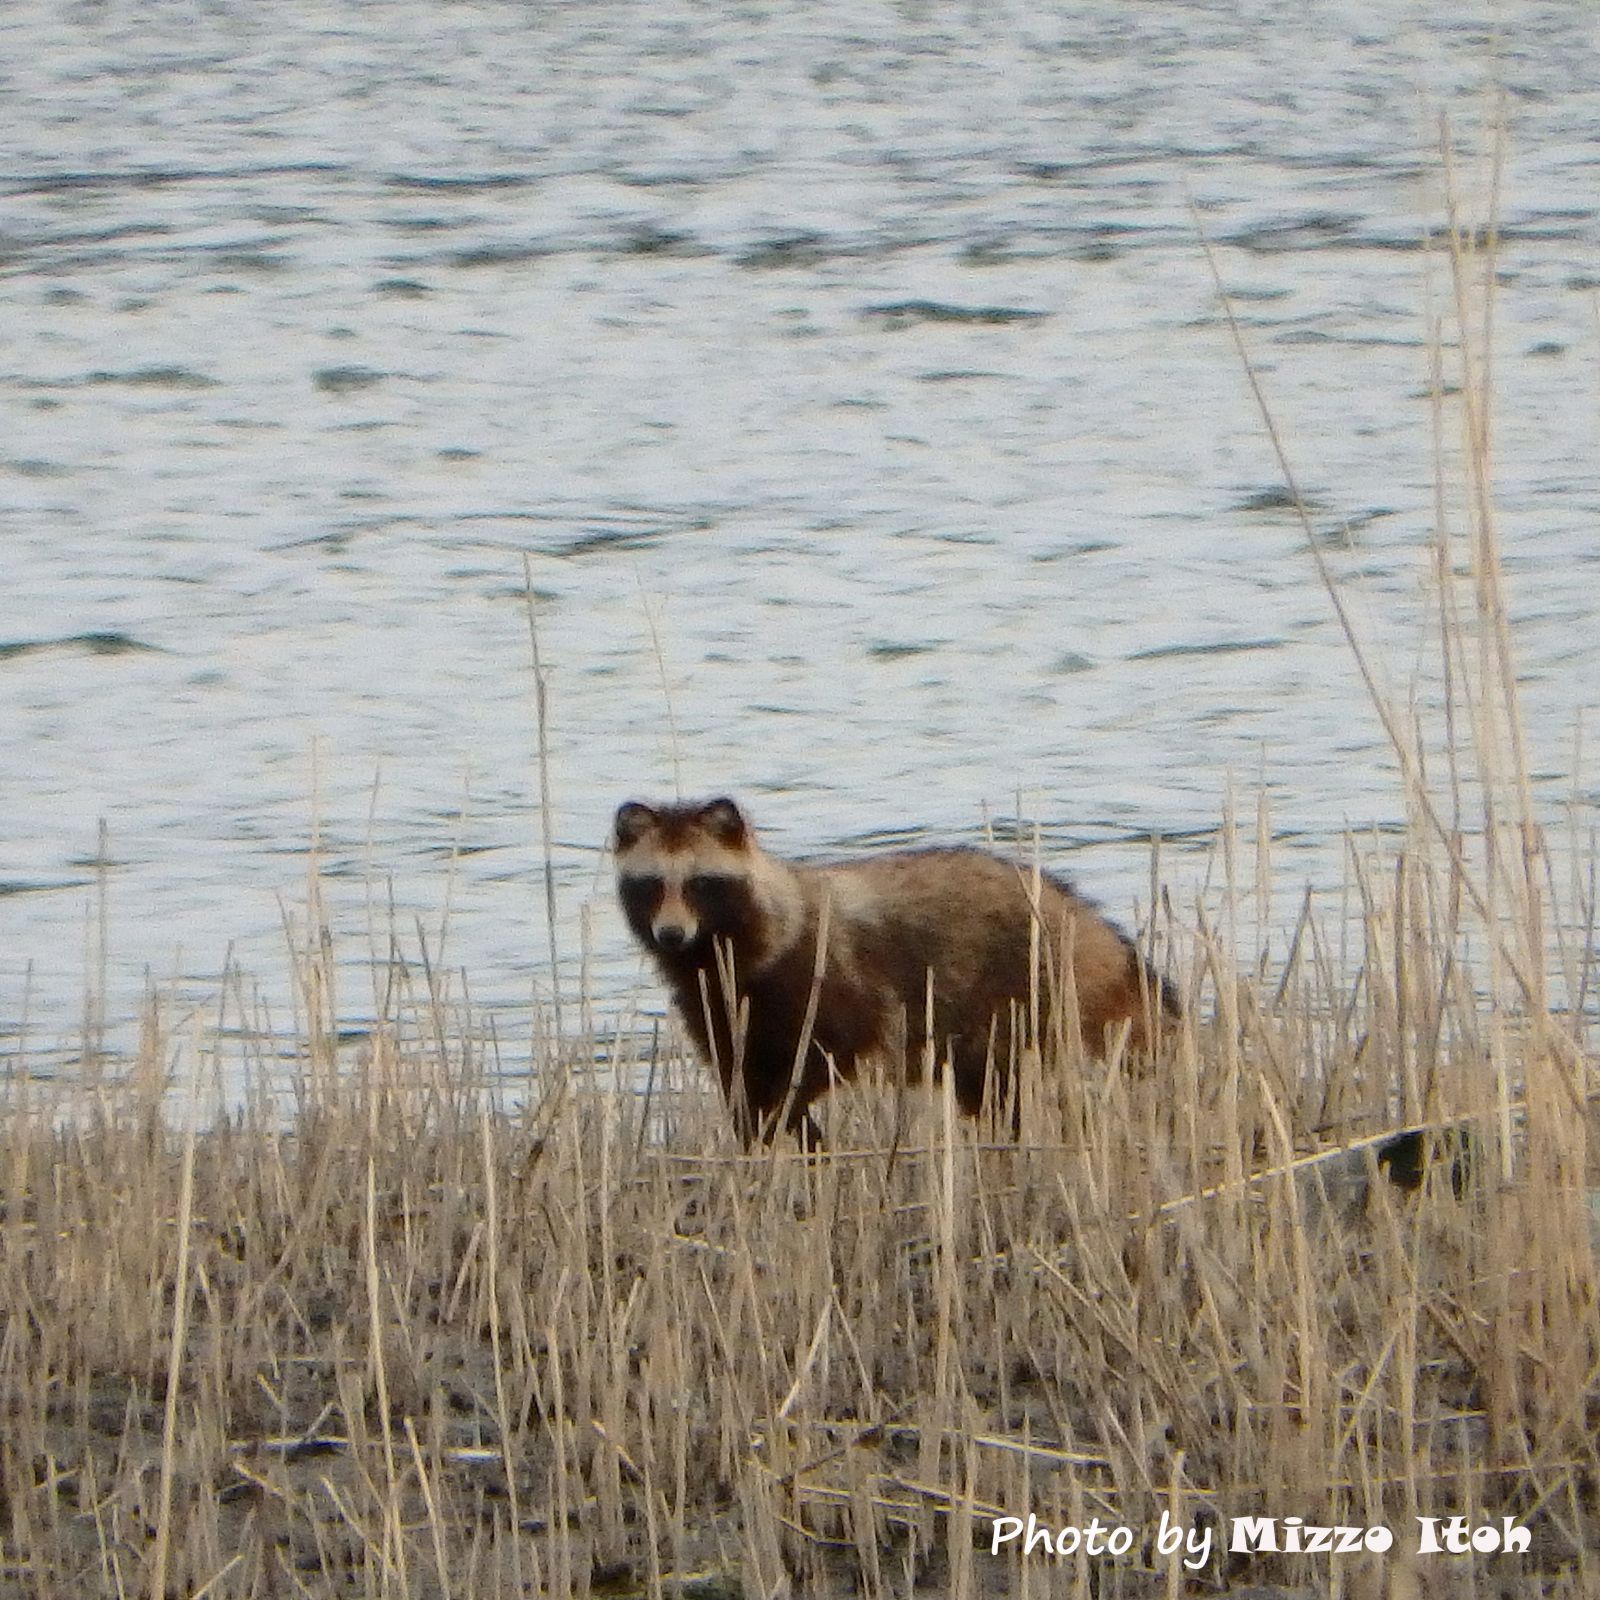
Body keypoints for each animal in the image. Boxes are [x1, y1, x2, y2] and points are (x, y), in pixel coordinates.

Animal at [611, 793, 1177, 1145]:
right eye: (652, 884)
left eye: (700, 884)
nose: (670, 933)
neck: (712, 951)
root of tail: (1079, 914)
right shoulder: (715, 1003)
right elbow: (739, 1080)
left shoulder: (825, 976)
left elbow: (830, 1056)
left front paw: (789, 1116)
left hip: (1029, 988)